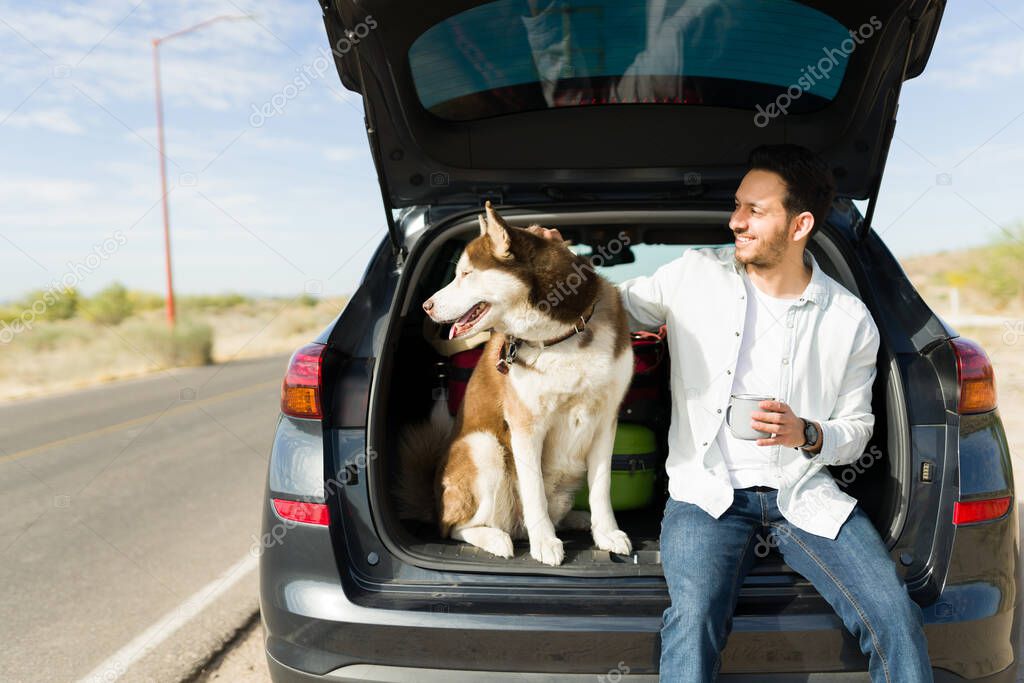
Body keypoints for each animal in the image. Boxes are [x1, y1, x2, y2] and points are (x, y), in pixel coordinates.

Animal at [395, 198, 634, 565]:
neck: (561, 335)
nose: (426, 306)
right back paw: (497, 538)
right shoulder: (525, 425)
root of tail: (435, 506)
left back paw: (575, 520)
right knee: (457, 527)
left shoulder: (605, 421)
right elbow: (533, 490)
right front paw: (544, 542)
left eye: (466, 274)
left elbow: (601, 487)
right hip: (483, 447)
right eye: (457, 273)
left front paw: (606, 533)